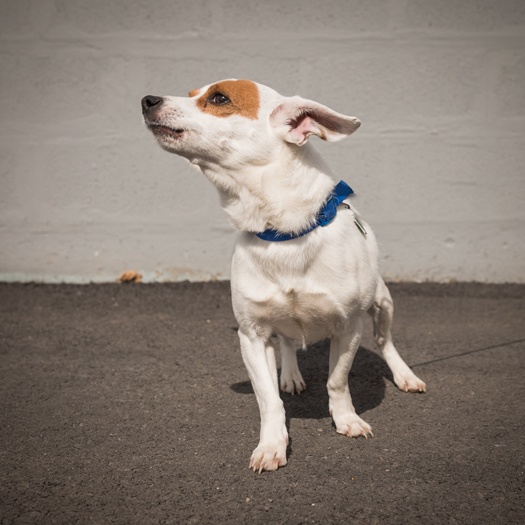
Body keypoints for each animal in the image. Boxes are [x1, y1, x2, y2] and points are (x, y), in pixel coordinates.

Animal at [141, 79, 426, 473]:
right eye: (192, 93)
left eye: (219, 98)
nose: (147, 100)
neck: (284, 233)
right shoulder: (251, 336)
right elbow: (268, 399)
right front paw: (272, 444)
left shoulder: (349, 328)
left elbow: (337, 381)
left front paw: (347, 420)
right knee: (289, 343)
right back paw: (290, 375)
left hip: (383, 302)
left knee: (385, 341)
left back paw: (404, 375)